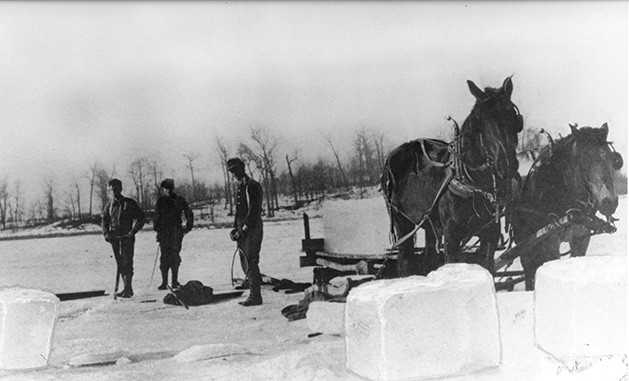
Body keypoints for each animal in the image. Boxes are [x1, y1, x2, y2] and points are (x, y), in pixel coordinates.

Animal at [380, 77, 524, 278]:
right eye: (482, 121)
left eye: (513, 116)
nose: (506, 165)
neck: (473, 183)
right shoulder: (451, 237)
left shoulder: (490, 233)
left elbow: (487, 267)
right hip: (402, 222)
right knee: (406, 261)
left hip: (429, 225)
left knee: (429, 258)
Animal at [512, 123, 620, 290]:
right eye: (584, 160)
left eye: (613, 160)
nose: (610, 202)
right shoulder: (549, 239)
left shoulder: (582, 237)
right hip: (524, 241)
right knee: (528, 268)